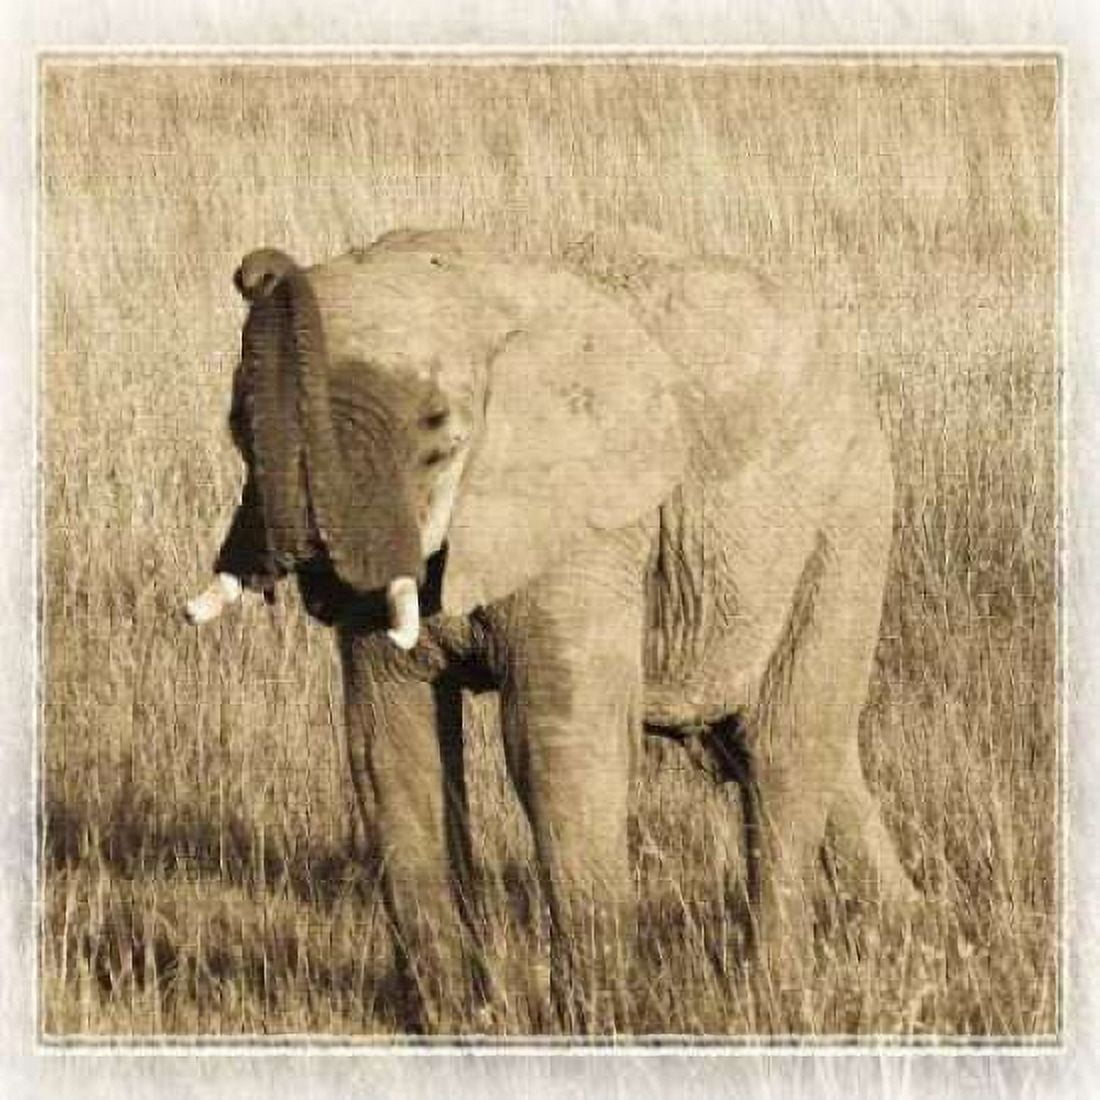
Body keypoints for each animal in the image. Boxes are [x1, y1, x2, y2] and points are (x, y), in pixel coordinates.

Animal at [186, 226, 918, 1032]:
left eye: (438, 431)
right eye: (234, 423)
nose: (258, 269)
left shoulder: (590, 521)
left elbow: (551, 739)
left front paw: (596, 1027)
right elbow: (390, 740)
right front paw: (455, 1028)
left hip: (846, 516)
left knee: (785, 748)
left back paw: (773, 1000)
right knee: (786, 744)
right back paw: (906, 936)